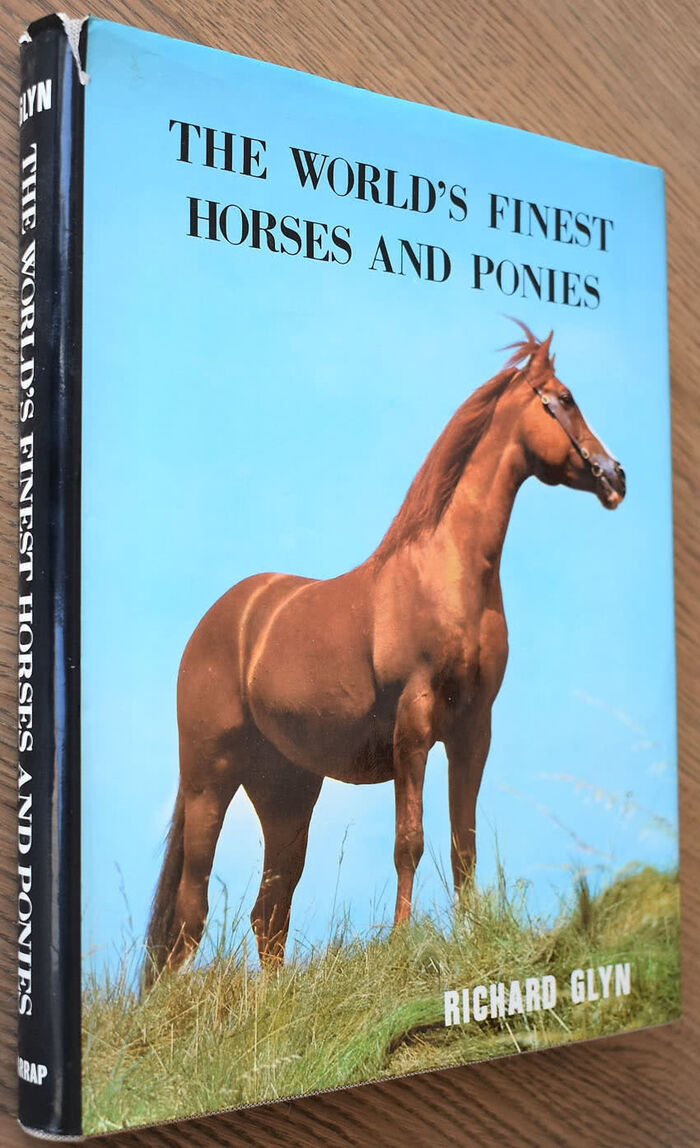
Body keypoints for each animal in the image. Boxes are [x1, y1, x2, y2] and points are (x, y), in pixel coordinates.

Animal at [143, 322, 625, 986]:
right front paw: (400, 945)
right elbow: (409, 840)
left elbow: (463, 842)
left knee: (269, 912)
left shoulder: (474, 729)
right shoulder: (414, 725)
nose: (616, 475)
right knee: (192, 911)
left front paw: (469, 937)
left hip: (286, 791)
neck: (446, 574)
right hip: (208, 778)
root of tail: (219, 620)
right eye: (563, 398)